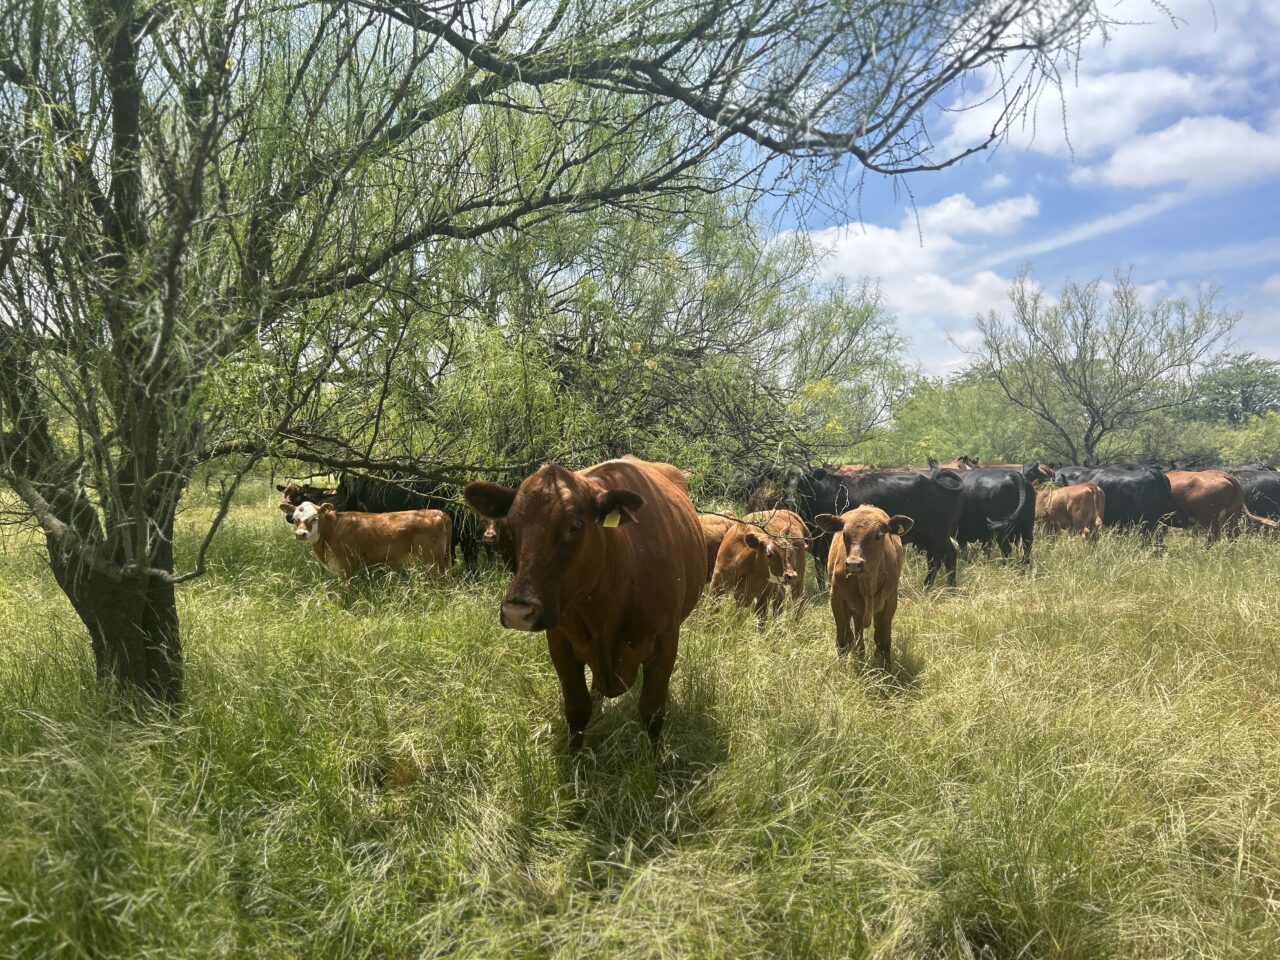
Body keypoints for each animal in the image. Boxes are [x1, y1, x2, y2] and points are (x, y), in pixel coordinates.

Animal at [286, 501, 451, 581]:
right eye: (294, 519)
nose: (300, 534)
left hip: (434, 562)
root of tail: (438, 513)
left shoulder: (345, 566)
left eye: (315, 518)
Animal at [463, 457, 705, 751]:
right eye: (510, 528)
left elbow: (652, 712)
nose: (517, 611)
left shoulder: (666, 641)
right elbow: (578, 710)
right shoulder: (560, 641)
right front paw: (576, 759)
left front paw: (655, 760)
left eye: (575, 526)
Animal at [786, 466, 965, 588]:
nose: (790, 499)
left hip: (936, 535)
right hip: (938, 536)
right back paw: (951, 587)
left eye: (804, 481)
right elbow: (820, 571)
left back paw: (926, 587)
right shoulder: (820, 547)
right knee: (950, 556)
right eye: (784, 480)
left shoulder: (826, 543)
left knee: (935, 561)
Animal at [813, 506, 912, 665]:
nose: (853, 564)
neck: (867, 583)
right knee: (856, 636)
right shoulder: (837, 600)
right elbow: (843, 639)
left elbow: (883, 640)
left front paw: (886, 669)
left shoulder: (890, 601)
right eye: (845, 534)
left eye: (878, 535)